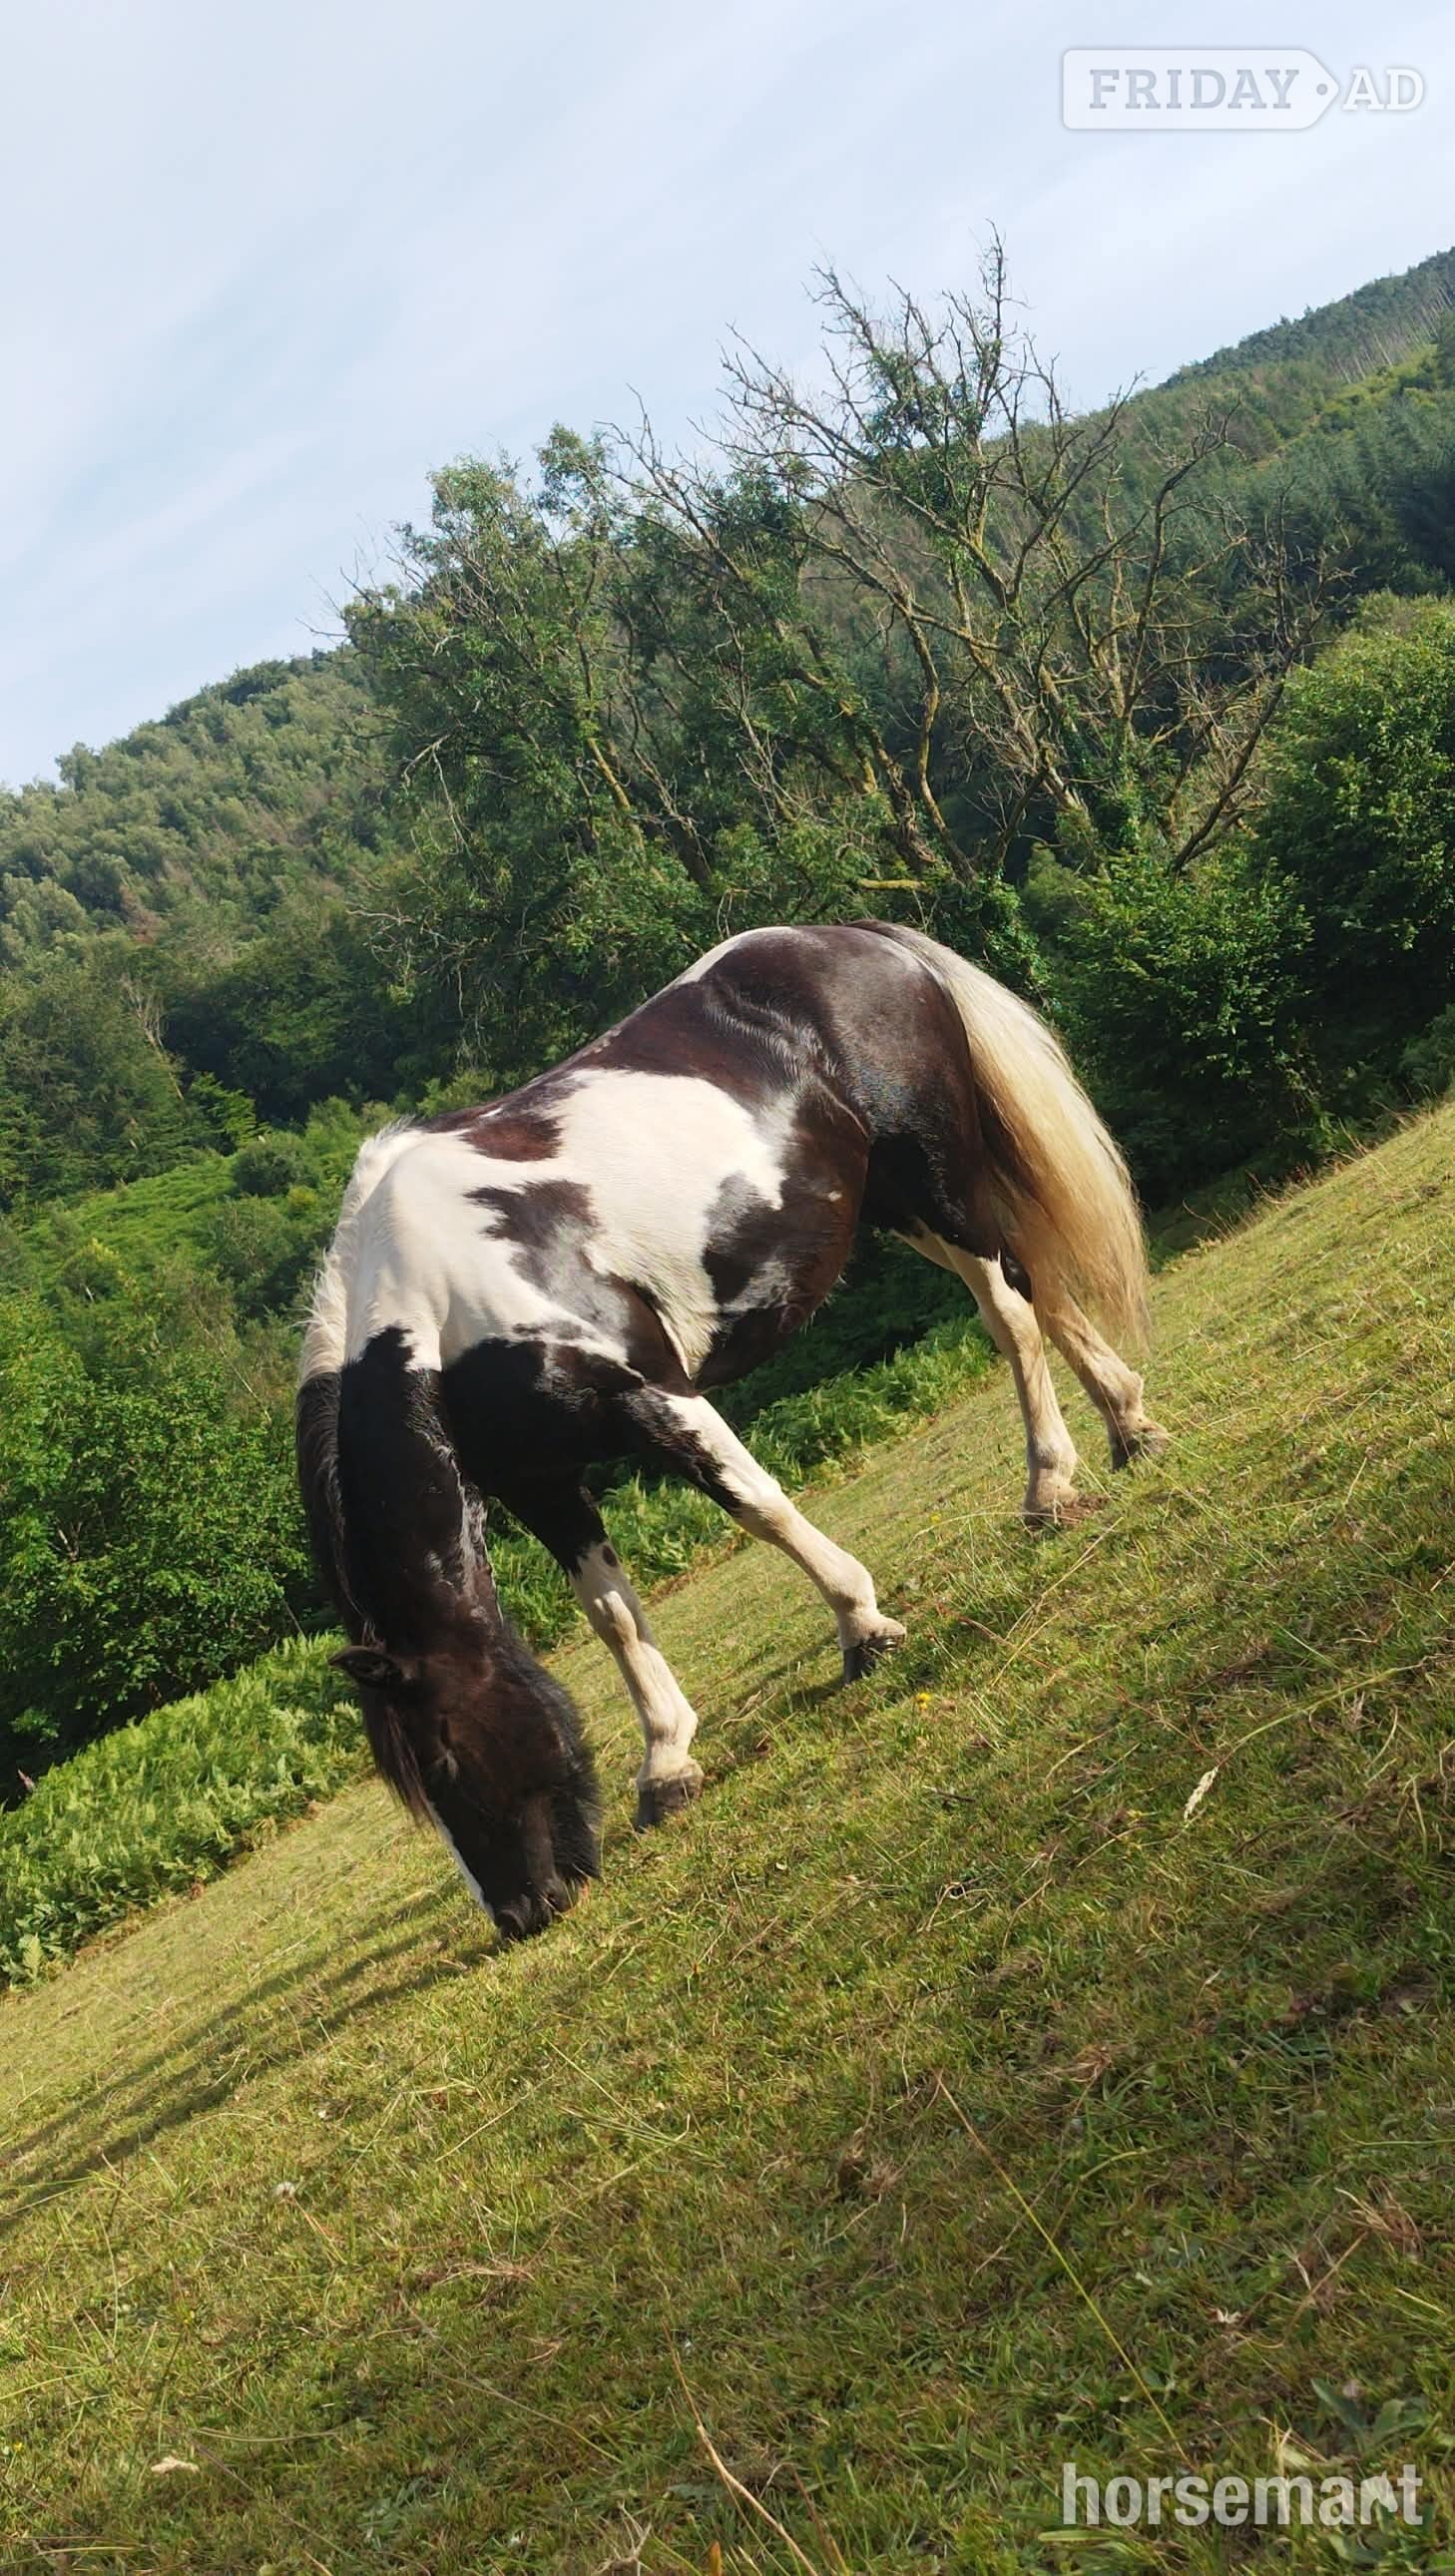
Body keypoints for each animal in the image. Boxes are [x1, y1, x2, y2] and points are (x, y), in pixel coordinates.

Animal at [297, 921, 1166, 1940]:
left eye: (441, 1755)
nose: (524, 1914)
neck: (437, 1301)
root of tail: (853, 937)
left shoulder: (652, 1393)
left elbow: (759, 1506)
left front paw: (864, 1625)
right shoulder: (538, 1479)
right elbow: (609, 1613)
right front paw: (668, 1765)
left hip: (935, 1176)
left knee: (1011, 1314)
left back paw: (1050, 1485)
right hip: (898, 1201)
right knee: (1037, 1283)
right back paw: (1128, 1425)